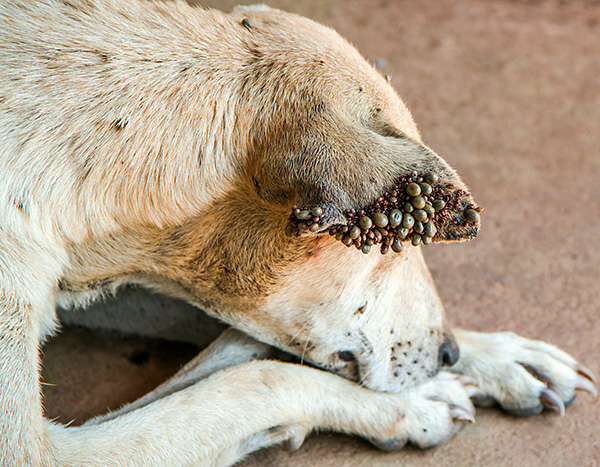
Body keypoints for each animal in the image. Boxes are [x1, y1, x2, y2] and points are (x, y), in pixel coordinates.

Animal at [0, 0, 596, 466]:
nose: (448, 355)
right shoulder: (44, 452)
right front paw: (403, 406)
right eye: (396, 248)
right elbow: (252, 381)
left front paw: (495, 355)